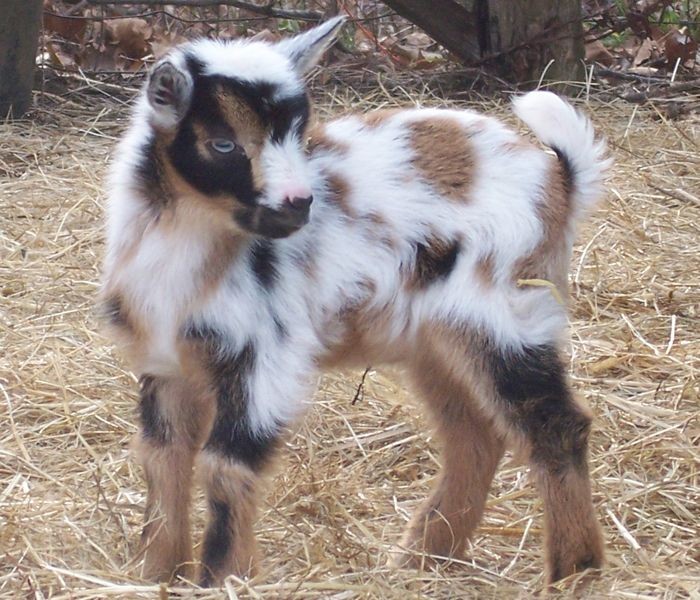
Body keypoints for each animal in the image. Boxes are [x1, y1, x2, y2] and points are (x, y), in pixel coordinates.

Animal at [101, 17, 608, 584]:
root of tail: (558, 179)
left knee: (555, 424)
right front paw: (155, 573)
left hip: (506, 315)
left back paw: (574, 572)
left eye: (299, 135)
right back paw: (423, 558)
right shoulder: (166, 360)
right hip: (437, 341)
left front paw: (223, 578)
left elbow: (225, 464)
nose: (300, 204)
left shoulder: (263, 354)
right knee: (474, 435)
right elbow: (162, 457)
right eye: (224, 143)